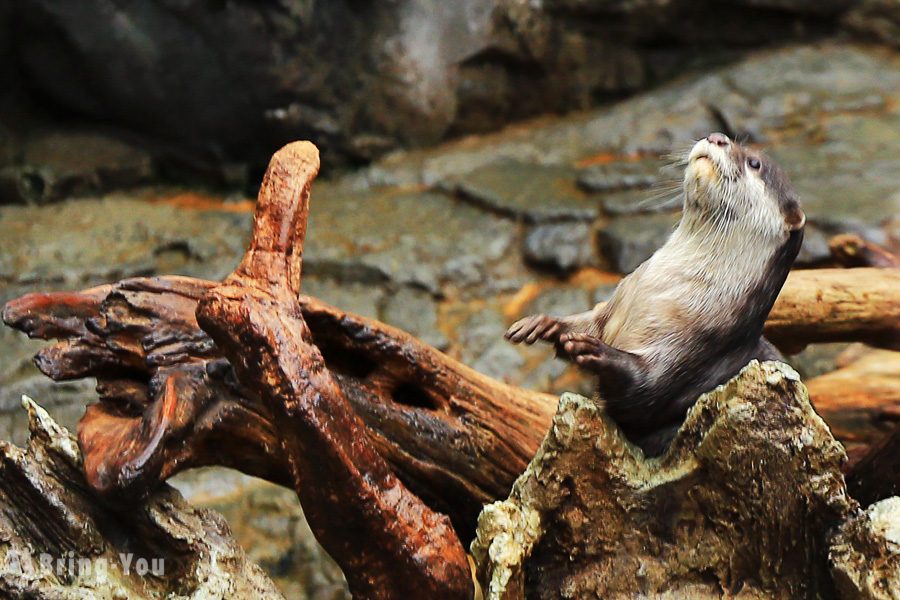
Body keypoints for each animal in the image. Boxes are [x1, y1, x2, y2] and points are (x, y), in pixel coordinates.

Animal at [506, 132, 808, 454]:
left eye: (754, 163)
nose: (717, 137)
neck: (663, 289)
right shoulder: (615, 307)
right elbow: (589, 322)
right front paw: (545, 324)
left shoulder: (693, 351)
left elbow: (643, 390)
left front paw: (596, 351)